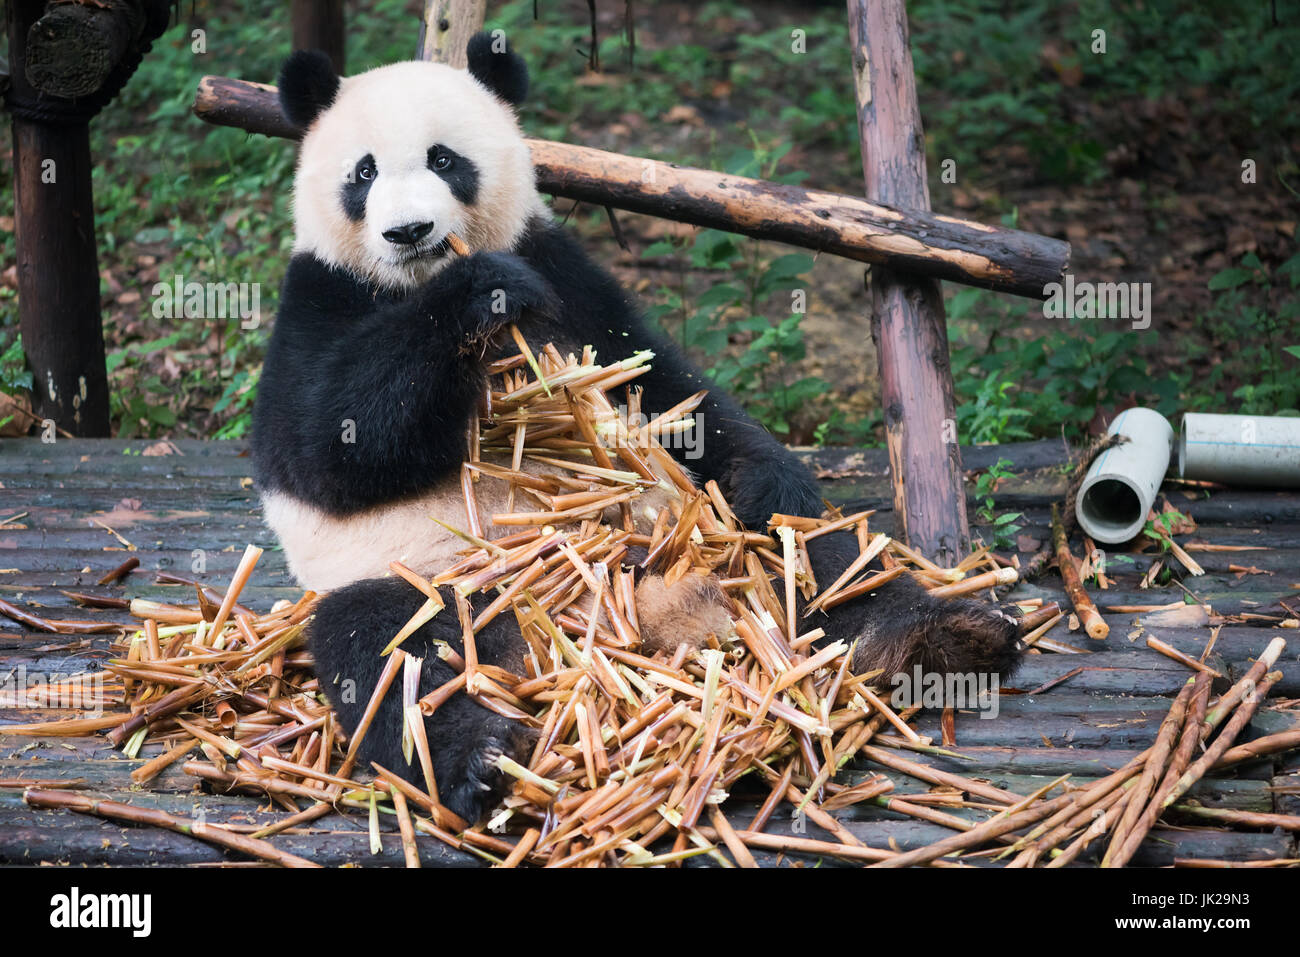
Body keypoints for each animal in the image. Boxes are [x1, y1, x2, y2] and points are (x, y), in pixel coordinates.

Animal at [252, 33, 1024, 824]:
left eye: (444, 160)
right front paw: (479, 291)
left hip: (707, 538)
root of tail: (630, 616)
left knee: (818, 556)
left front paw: (767, 471)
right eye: (364, 172)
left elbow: (669, 392)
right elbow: (323, 445)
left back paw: (938, 635)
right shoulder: (319, 296)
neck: (409, 283)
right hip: (440, 580)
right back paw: (484, 761)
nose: (408, 232)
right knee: (391, 657)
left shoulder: (569, 274)